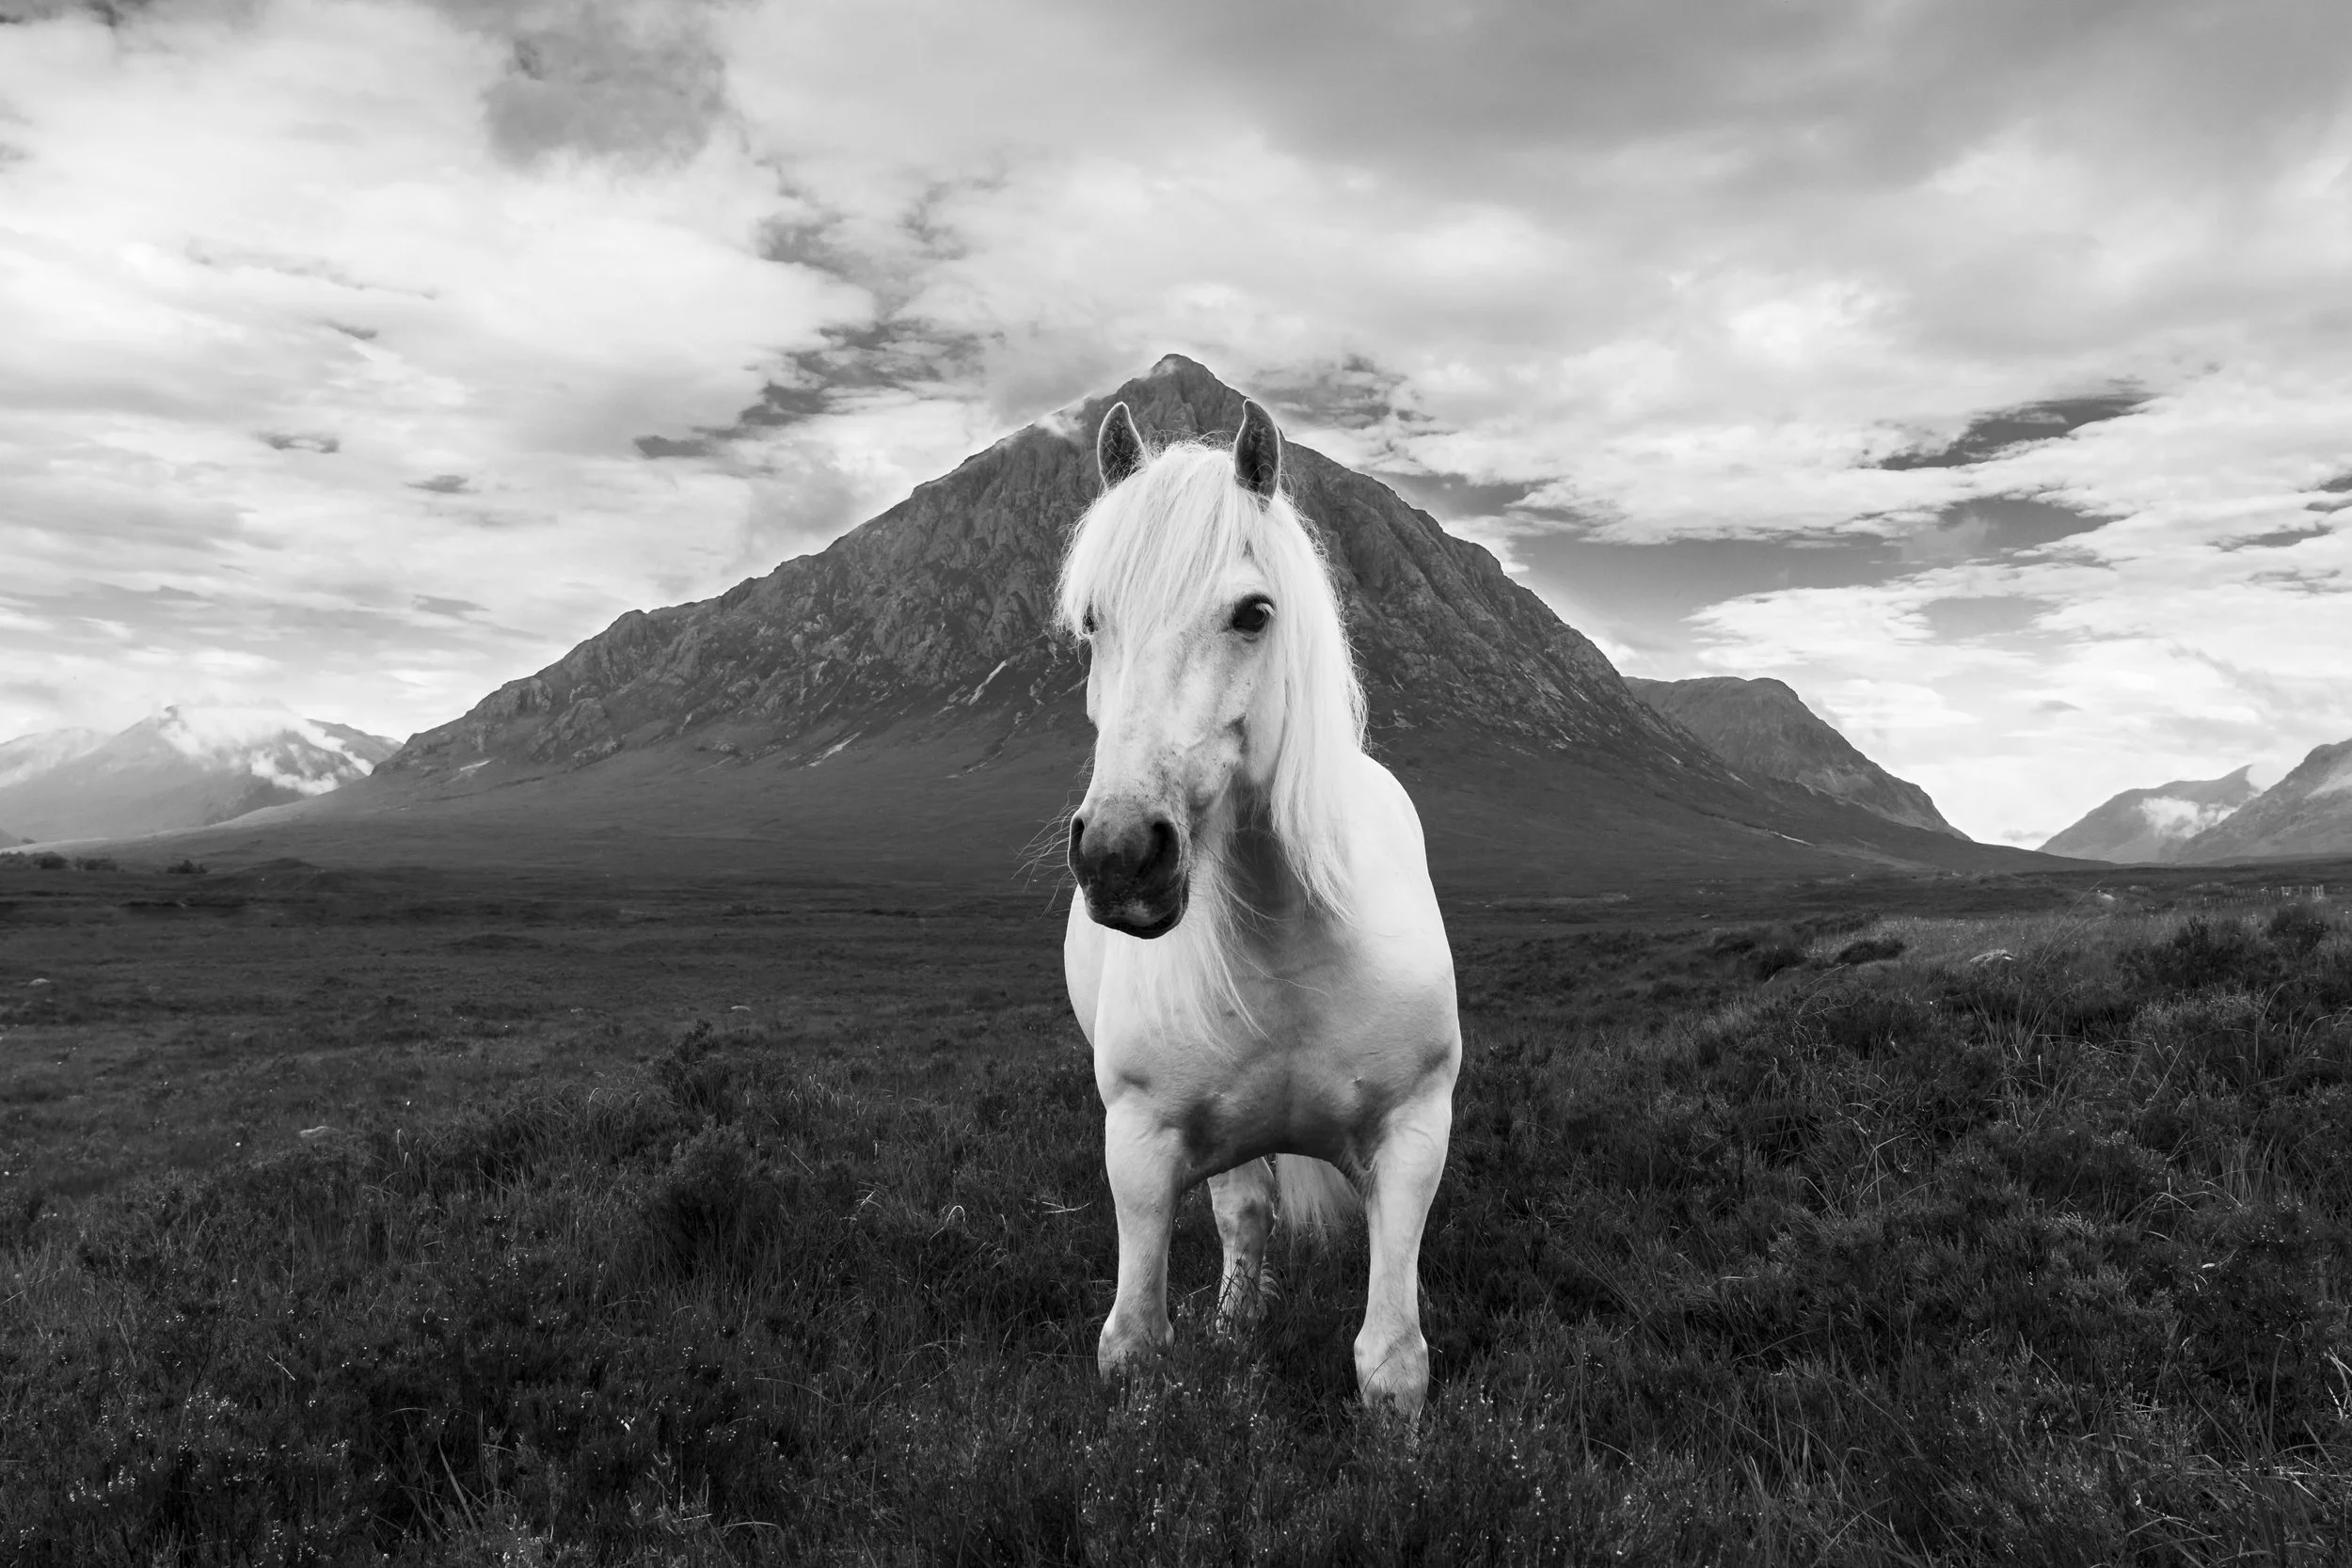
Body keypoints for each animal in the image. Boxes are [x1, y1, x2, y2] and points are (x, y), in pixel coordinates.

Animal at [1057, 394, 1462, 1413]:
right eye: (1093, 620)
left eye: (1253, 613)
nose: (1121, 855)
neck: (1294, 937)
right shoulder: (1140, 1142)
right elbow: (1133, 1342)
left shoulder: (1414, 1132)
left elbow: (1391, 1359)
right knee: (1245, 1212)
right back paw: (1238, 1324)